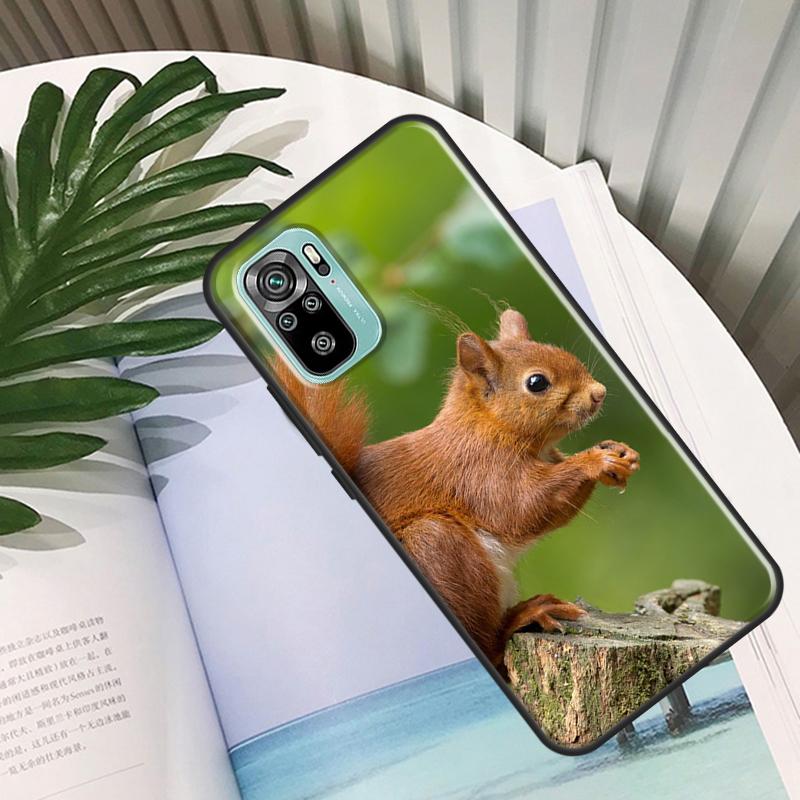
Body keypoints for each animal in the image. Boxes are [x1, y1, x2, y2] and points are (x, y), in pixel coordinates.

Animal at [271, 308, 640, 668]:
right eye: (537, 382)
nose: (599, 392)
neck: (486, 425)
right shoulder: (479, 472)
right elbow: (524, 507)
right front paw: (594, 461)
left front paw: (620, 452)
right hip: (439, 546)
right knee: (490, 645)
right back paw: (525, 615)